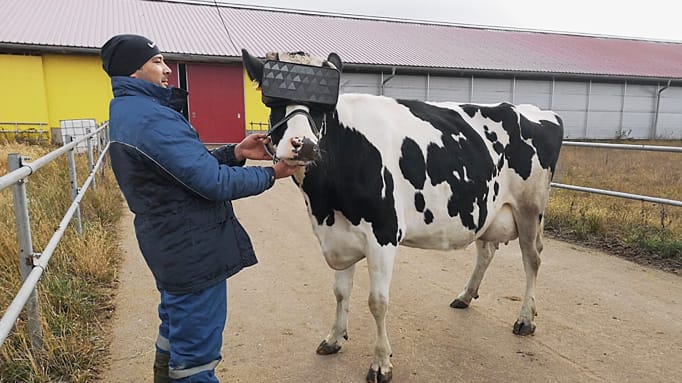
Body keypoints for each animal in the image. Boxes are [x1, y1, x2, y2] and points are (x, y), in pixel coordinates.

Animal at [242, 48, 560, 383]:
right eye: (272, 102)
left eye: (322, 108)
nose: (303, 145)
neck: (324, 203)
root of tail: (536, 111)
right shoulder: (338, 236)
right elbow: (340, 292)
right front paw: (334, 338)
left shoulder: (383, 234)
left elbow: (377, 302)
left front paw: (381, 363)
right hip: (487, 208)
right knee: (486, 250)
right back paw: (465, 296)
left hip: (530, 208)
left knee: (532, 259)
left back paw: (525, 320)